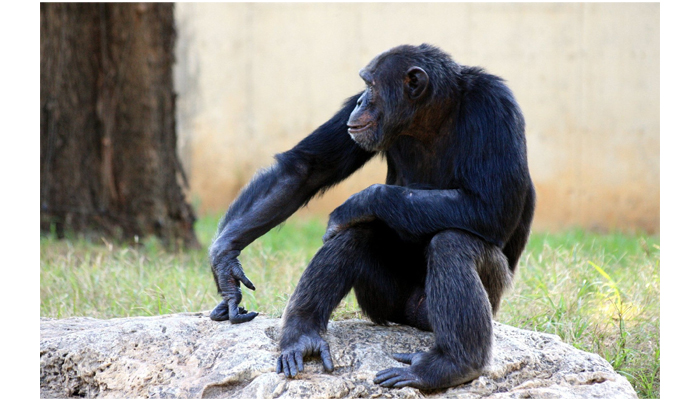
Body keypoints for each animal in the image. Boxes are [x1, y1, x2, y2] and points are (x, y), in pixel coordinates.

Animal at [208, 44, 536, 390]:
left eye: (372, 86)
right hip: (384, 303)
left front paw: (357, 202)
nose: (361, 101)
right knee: (357, 233)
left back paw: (450, 365)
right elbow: (305, 169)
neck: (432, 116)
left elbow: (490, 207)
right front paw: (225, 263)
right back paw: (302, 336)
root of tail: (409, 318)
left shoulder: (496, 105)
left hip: (473, 301)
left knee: (453, 243)